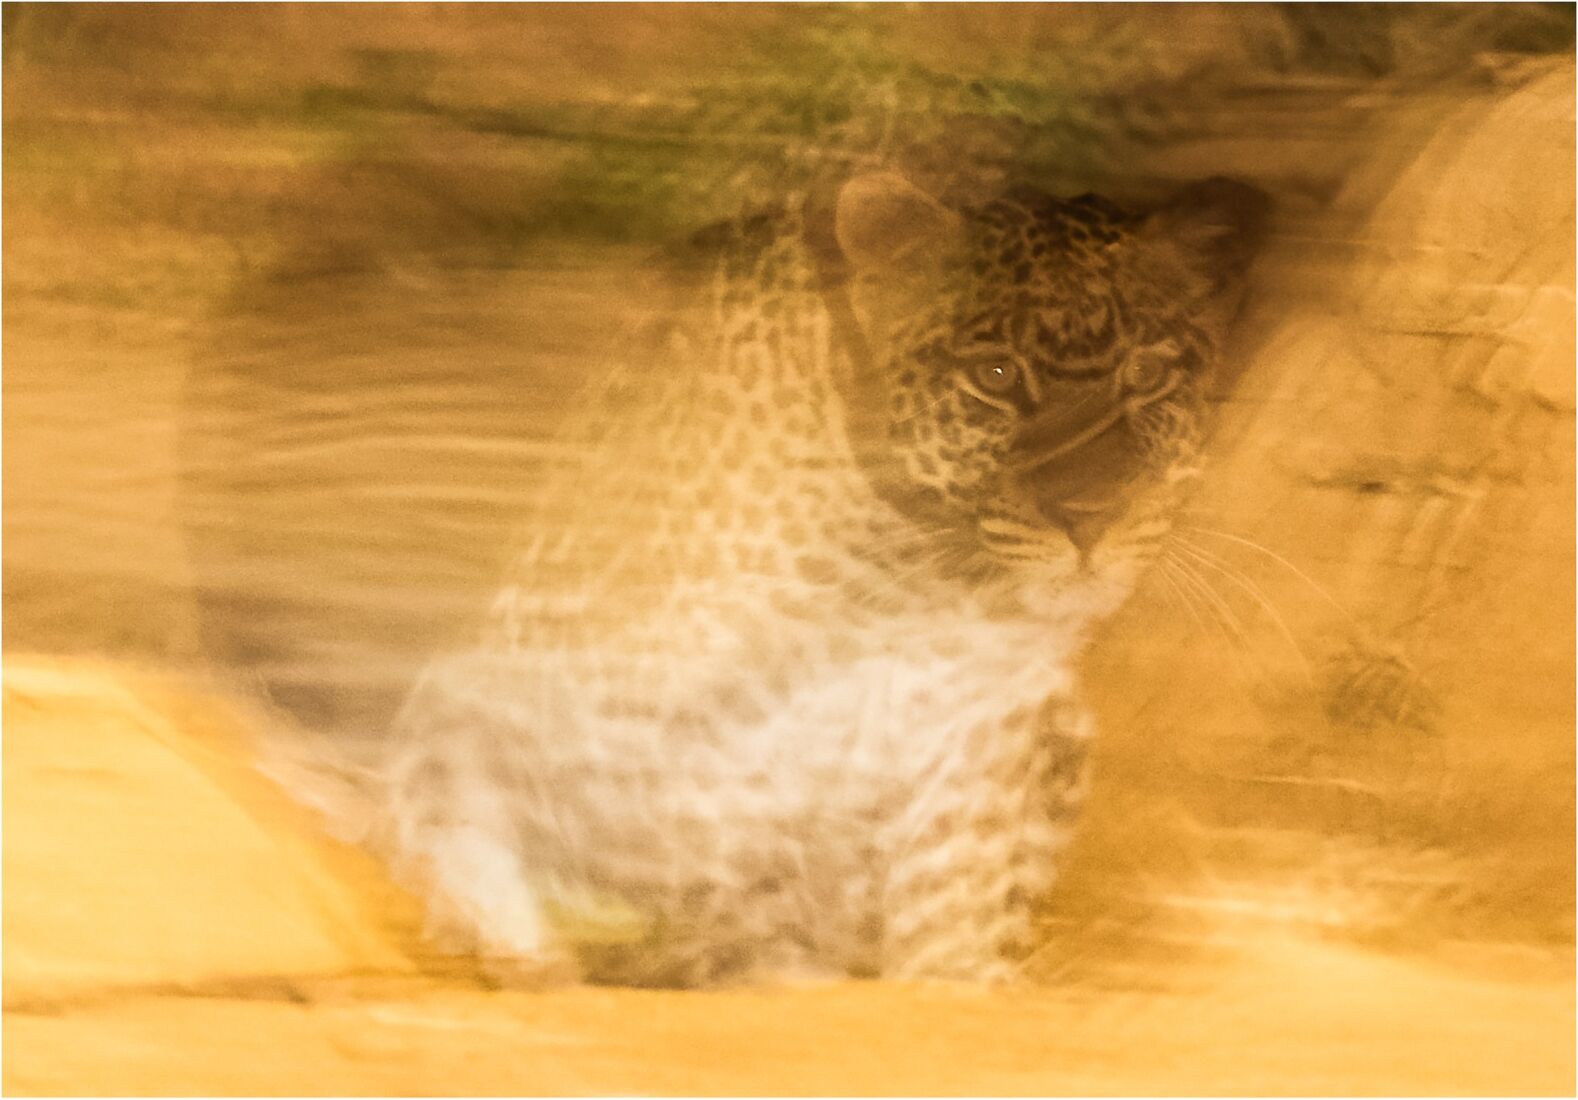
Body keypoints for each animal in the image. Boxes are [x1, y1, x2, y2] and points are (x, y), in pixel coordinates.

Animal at [354, 169, 1268, 988]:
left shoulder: (985, 712)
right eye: (996, 378)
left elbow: (958, 874)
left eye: (1147, 376)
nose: (1092, 517)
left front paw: (954, 980)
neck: (902, 558)